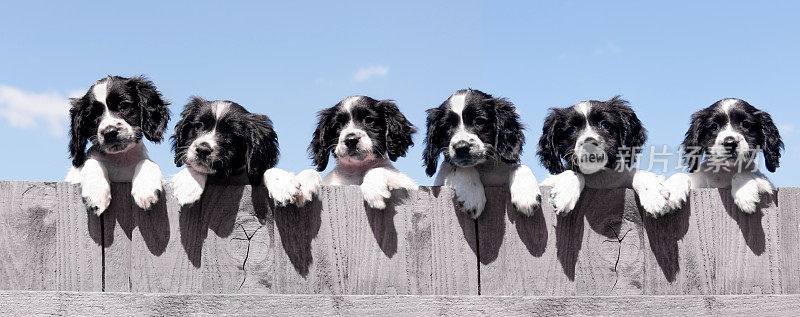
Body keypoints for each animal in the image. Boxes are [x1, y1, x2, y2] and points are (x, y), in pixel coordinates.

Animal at [65, 76, 170, 215]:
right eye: (92, 115)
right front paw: (96, 194)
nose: (109, 132)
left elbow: (147, 162)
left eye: (124, 105)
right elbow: (92, 162)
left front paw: (145, 189)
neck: (120, 159)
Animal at [170, 96, 318, 205]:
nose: (202, 149)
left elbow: (265, 171)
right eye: (199, 126)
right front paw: (189, 184)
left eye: (230, 134)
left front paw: (282, 183)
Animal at [422, 88, 540, 217]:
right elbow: (460, 168)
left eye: (479, 121)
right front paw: (472, 195)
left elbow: (519, 166)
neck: (484, 167)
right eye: (447, 126)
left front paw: (527, 196)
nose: (461, 147)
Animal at [536, 95, 692, 216]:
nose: (589, 143)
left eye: (605, 125)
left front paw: (654, 195)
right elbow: (572, 173)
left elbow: (638, 173)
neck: (599, 176)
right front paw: (565, 194)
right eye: (571, 130)